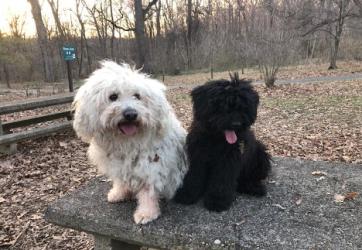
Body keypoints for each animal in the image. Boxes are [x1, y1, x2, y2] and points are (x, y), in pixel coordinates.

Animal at [72, 61, 188, 225]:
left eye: (137, 96)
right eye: (113, 96)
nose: (131, 114)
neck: (127, 142)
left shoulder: (151, 166)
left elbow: (148, 192)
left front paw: (146, 213)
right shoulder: (119, 166)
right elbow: (120, 181)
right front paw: (119, 193)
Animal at [174, 74, 270, 213]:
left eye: (242, 107)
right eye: (222, 106)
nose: (236, 124)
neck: (216, 139)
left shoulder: (228, 161)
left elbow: (222, 180)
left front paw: (217, 200)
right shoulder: (198, 157)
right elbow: (194, 175)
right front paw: (187, 194)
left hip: (260, 154)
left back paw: (253, 187)